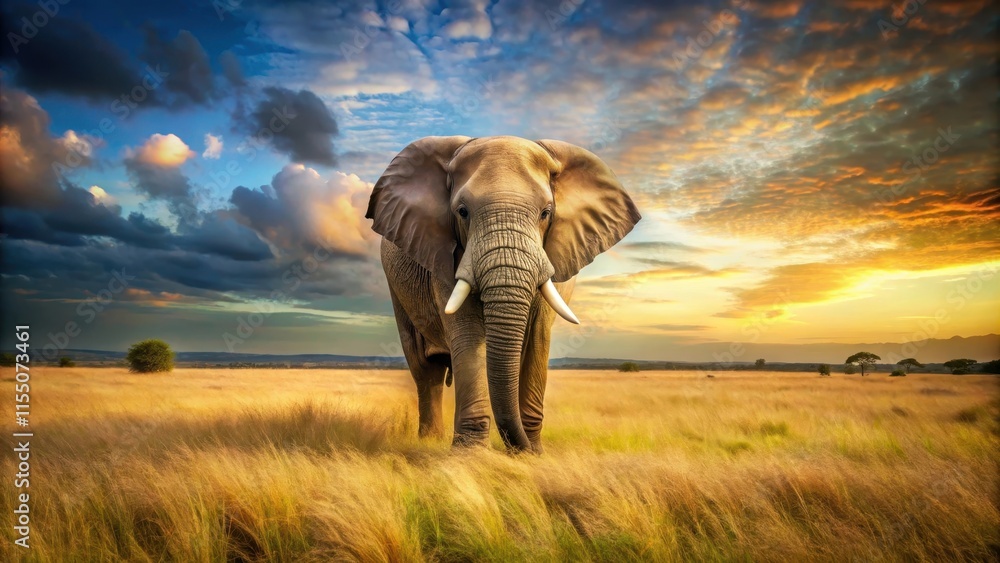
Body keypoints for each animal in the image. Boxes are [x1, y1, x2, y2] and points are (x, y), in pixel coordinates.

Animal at [366, 135, 640, 453]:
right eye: (462, 212)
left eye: (546, 213)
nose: (520, 447)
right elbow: (467, 331)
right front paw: (470, 455)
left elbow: (537, 336)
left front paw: (532, 453)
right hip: (397, 290)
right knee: (426, 370)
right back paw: (429, 442)